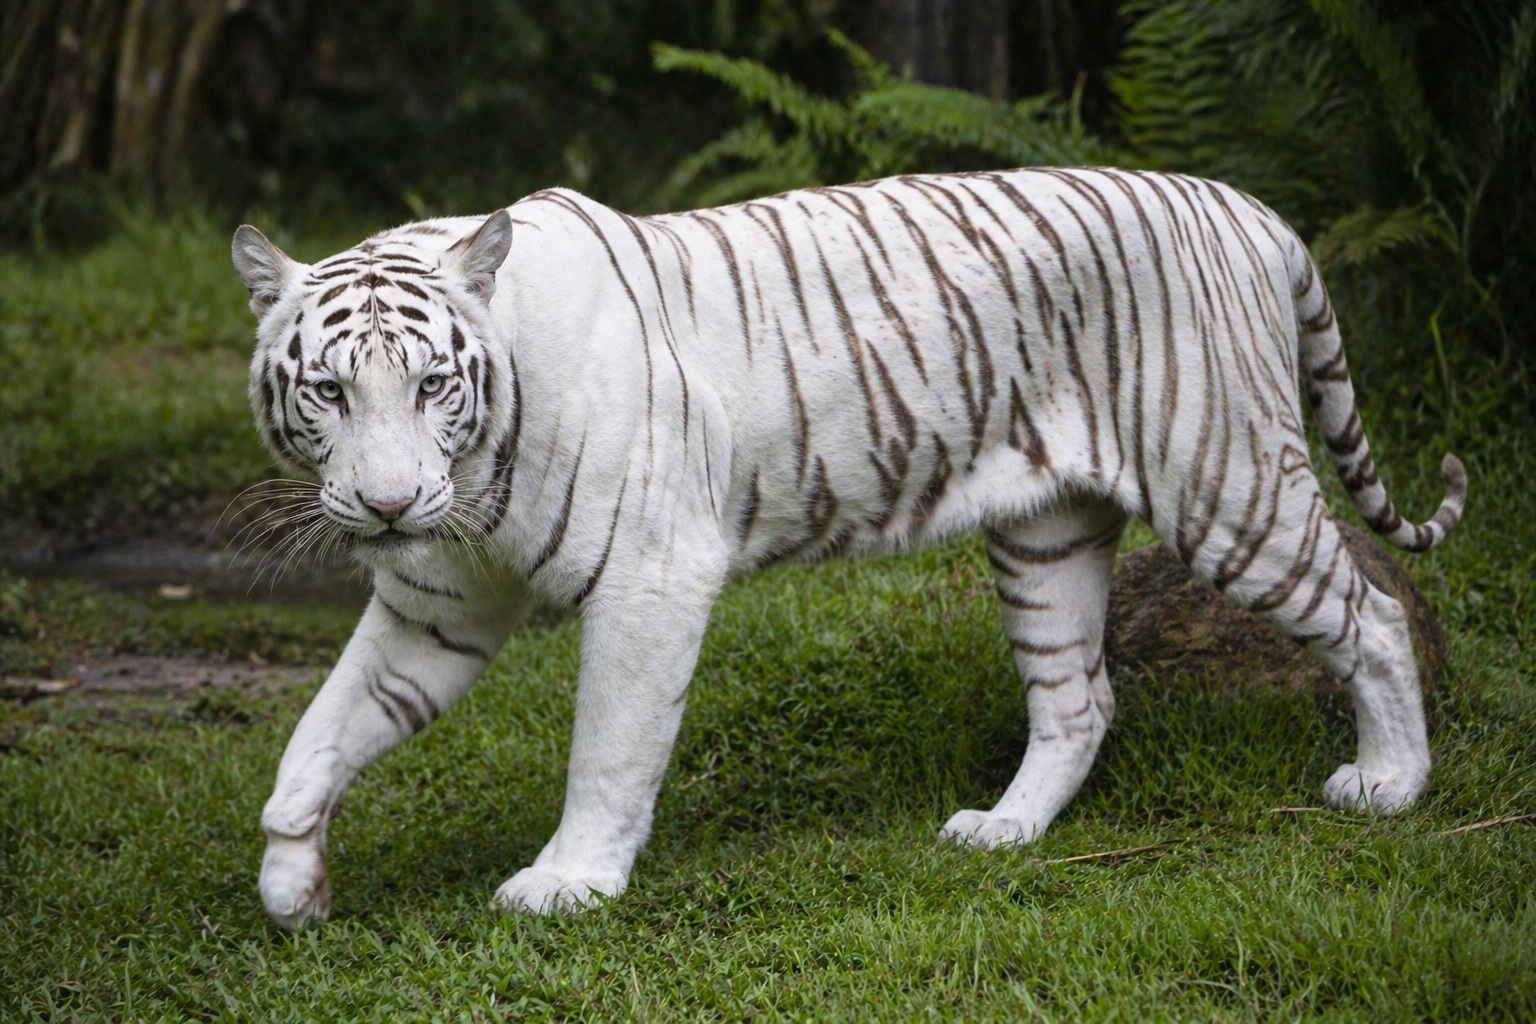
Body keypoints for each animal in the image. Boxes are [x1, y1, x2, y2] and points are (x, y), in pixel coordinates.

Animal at [231, 167, 1465, 929]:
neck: (476, 471)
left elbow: (609, 750)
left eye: (431, 384)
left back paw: (1391, 783)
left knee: (1372, 614)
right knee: (1080, 697)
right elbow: (317, 734)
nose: (388, 504)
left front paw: (571, 882)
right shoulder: (435, 605)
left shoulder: (650, 577)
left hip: (1227, 481)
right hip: (1046, 532)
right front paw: (293, 882)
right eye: (330, 391)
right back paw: (1005, 831)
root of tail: (1248, 206)